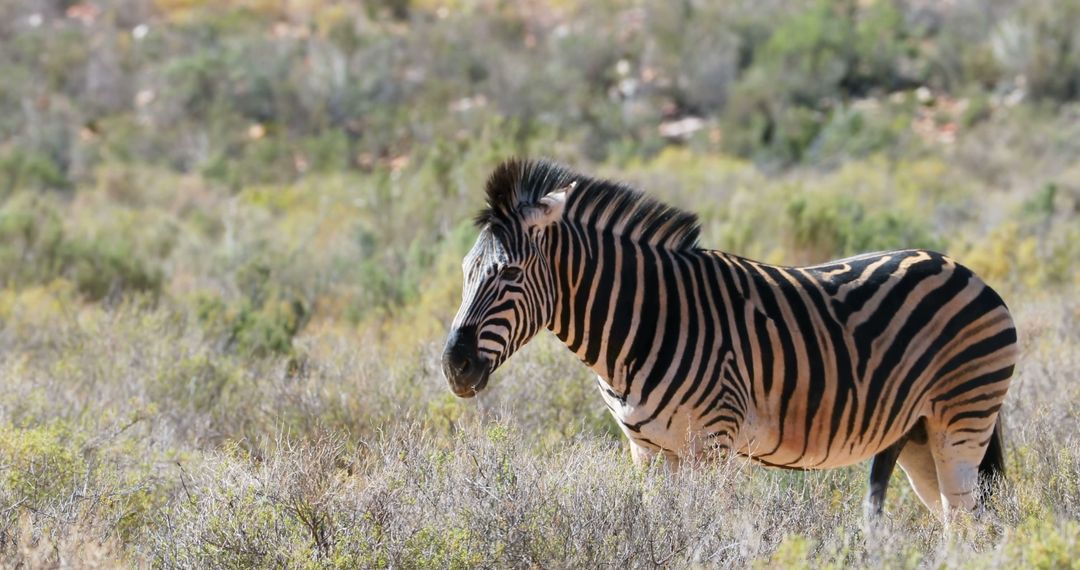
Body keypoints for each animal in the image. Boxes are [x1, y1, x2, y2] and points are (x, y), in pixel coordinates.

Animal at [442, 157, 1015, 518]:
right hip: (919, 436)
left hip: (961, 424)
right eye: (466, 271)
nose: (454, 365)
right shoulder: (648, 452)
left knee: (968, 523)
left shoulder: (713, 445)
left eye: (510, 274)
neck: (643, 323)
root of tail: (966, 271)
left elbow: (705, 532)